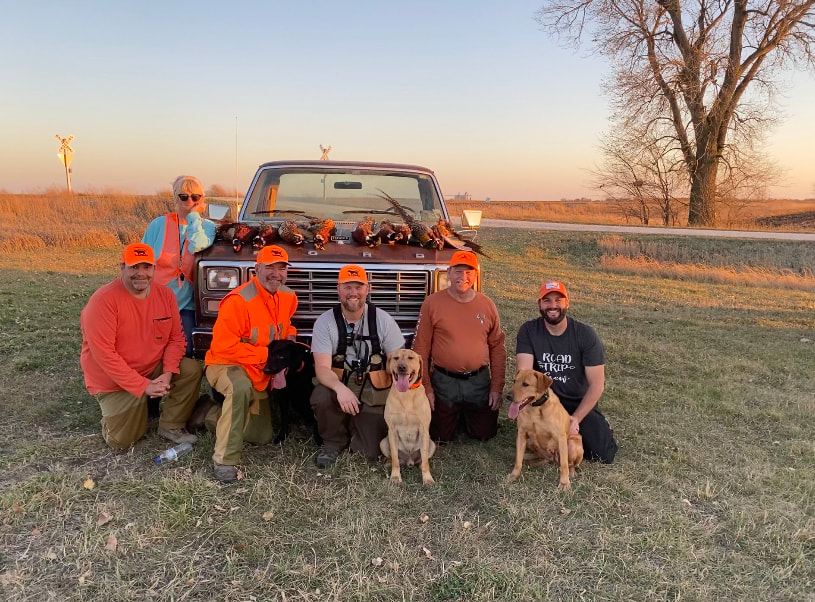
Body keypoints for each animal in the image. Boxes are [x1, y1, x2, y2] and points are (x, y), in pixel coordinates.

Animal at [380, 346, 436, 482]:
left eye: (410, 358)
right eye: (396, 358)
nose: (402, 367)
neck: (406, 394)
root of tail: (409, 460)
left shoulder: (424, 429)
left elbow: (425, 460)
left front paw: (427, 478)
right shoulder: (392, 430)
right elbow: (395, 458)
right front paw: (395, 476)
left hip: (432, 444)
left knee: (423, 458)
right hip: (383, 442)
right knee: (394, 458)